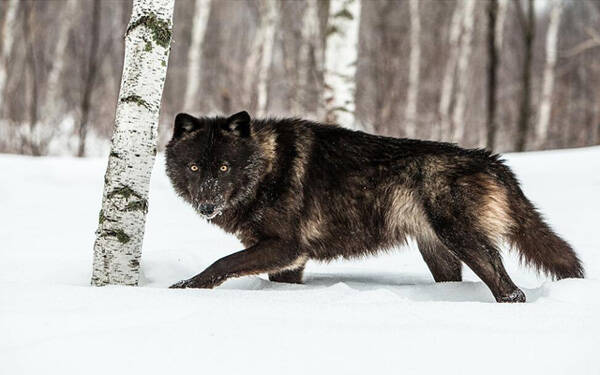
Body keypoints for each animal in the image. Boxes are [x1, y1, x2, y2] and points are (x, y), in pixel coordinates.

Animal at [166, 111, 584, 302]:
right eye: (194, 167)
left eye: (224, 167)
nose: (206, 204)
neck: (267, 167)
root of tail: (492, 160)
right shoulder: (289, 262)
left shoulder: (285, 247)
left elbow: (222, 263)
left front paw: (184, 287)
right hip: (439, 253)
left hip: (465, 242)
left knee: (511, 292)